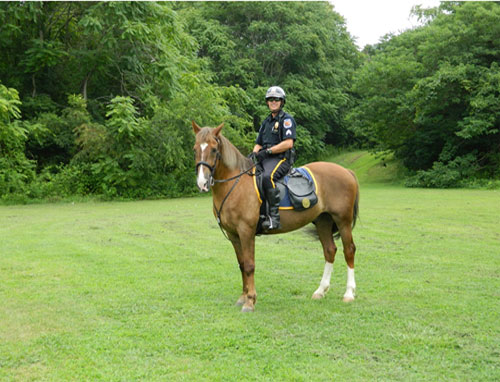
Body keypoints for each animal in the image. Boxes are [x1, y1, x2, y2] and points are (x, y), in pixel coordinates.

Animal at [191, 121, 360, 312]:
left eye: (213, 149)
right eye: (195, 149)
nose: (202, 183)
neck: (235, 184)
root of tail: (346, 171)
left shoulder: (246, 231)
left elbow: (249, 265)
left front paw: (250, 301)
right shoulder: (234, 234)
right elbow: (241, 264)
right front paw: (243, 297)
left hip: (343, 221)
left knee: (349, 250)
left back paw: (349, 293)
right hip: (323, 220)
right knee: (329, 250)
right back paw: (320, 291)